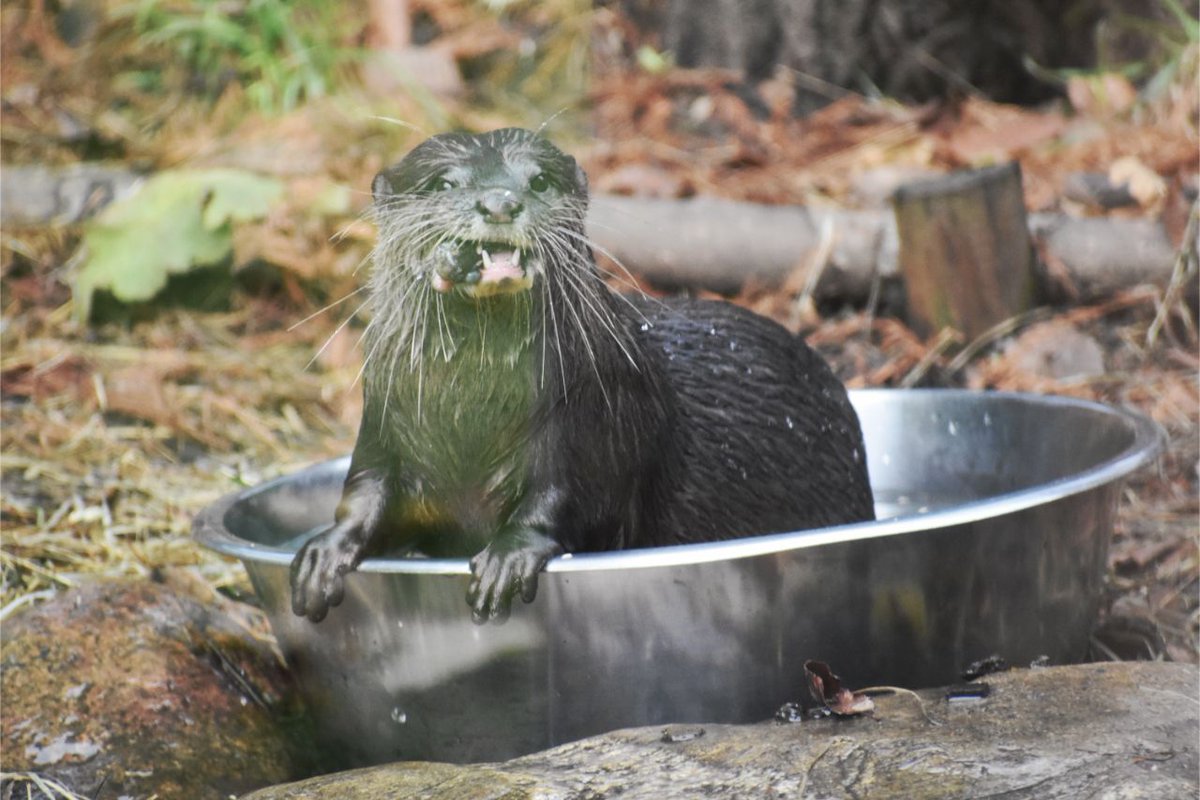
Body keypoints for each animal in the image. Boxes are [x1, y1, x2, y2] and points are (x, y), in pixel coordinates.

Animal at [290, 128, 874, 624]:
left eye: (539, 181)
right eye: (444, 183)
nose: (499, 203)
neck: (470, 421)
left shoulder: (595, 417)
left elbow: (569, 498)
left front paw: (509, 556)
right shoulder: (384, 421)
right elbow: (366, 492)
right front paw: (326, 551)